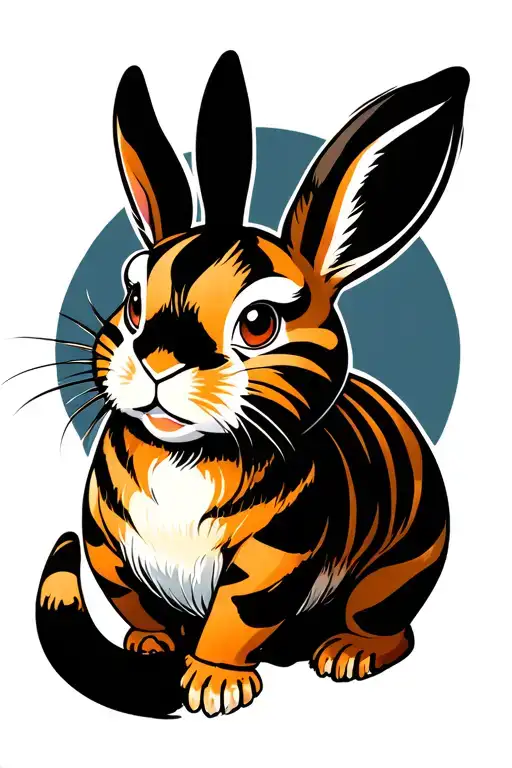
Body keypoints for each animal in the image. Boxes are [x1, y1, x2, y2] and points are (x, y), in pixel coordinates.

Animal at [36, 51, 469, 719]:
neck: (185, 456)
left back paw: (350, 653)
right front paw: (151, 648)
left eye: (259, 323)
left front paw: (215, 686)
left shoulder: (275, 557)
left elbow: (236, 617)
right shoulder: (106, 543)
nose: (158, 361)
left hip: (401, 568)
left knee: (389, 624)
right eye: (133, 302)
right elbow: (134, 601)